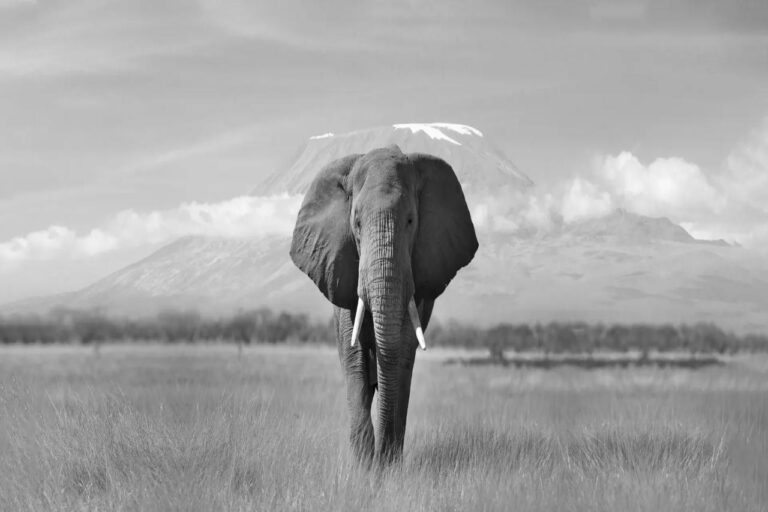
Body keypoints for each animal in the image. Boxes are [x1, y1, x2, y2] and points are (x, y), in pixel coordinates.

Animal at [290, 145, 478, 465]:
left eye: (411, 221)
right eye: (356, 223)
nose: (379, 460)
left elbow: (400, 353)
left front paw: (386, 466)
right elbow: (353, 357)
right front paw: (364, 466)